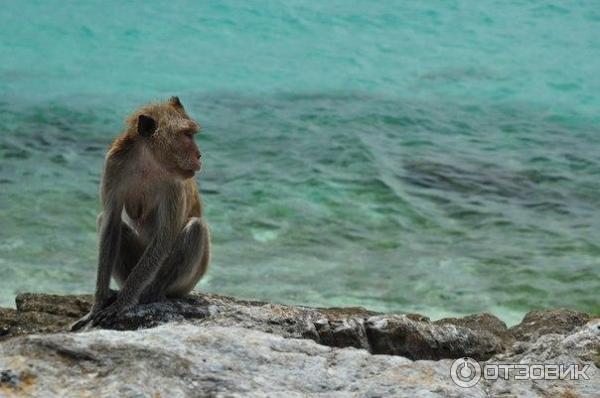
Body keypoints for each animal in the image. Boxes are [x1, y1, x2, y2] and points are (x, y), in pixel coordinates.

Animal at [72, 96, 211, 330]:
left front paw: (123, 303)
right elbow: (111, 224)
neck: (148, 162)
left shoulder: (173, 183)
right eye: (186, 135)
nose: (199, 155)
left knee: (196, 228)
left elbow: (164, 238)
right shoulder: (114, 165)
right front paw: (98, 305)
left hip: (185, 284)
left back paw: (150, 295)